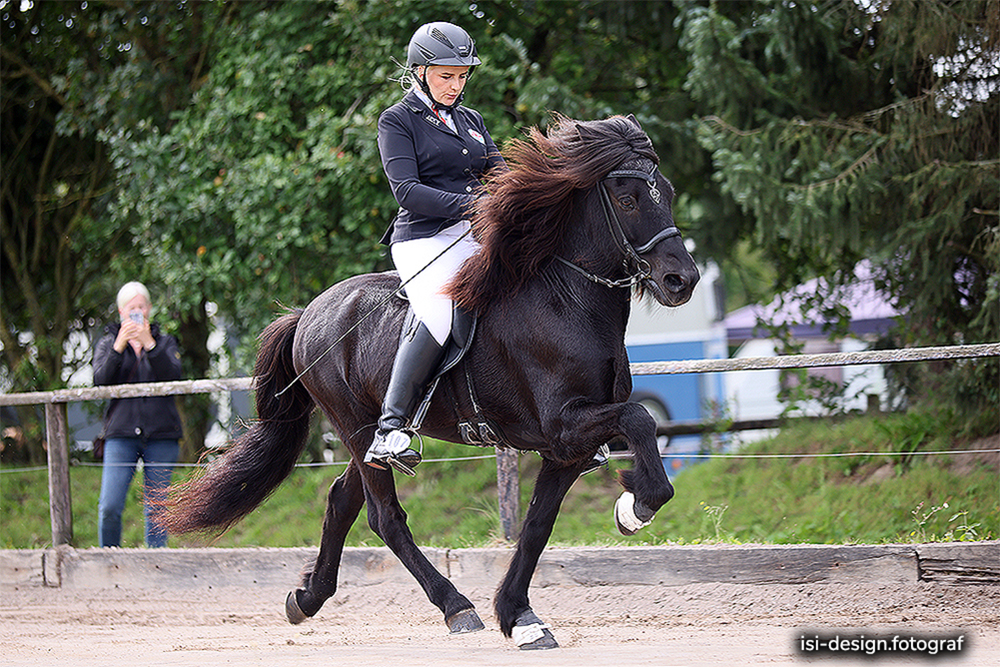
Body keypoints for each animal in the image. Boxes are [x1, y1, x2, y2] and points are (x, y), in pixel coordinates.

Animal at [162, 112, 696, 648]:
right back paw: (455, 606)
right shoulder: (564, 425)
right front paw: (635, 506)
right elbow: (641, 420)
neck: (567, 300)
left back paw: (307, 598)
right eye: (628, 199)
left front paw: (521, 617)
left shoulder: (566, 449)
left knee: (341, 500)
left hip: (365, 438)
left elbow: (537, 525)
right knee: (384, 518)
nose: (682, 281)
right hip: (353, 425)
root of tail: (308, 312)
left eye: (669, 192)